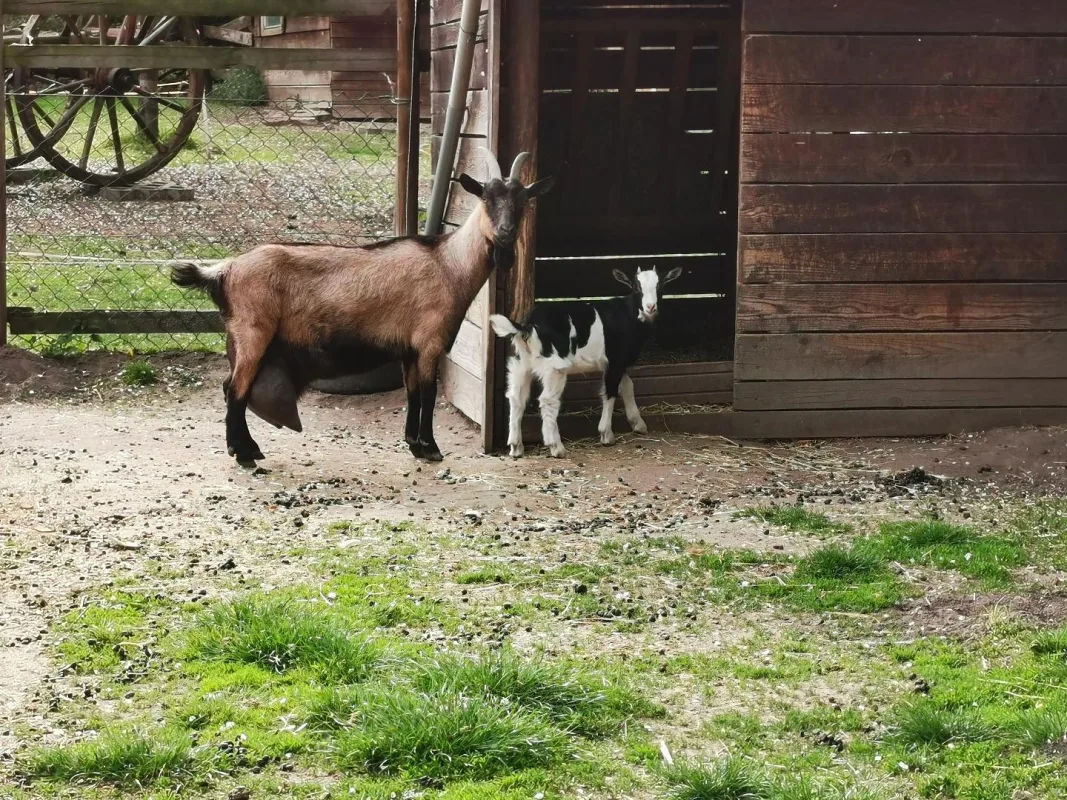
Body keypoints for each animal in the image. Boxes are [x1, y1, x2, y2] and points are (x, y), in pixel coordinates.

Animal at [171, 150, 554, 465]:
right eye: (486, 197)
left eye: (522, 199)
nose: (505, 233)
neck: (448, 263)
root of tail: (224, 270)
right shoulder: (429, 342)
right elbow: (429, 394)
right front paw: (431, 449)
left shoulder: (409, 348)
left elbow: (414, 394)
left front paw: (414, 445)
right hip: (253, 333)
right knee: (236, 390)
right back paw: (244, 455)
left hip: (240, 337)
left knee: (230, 387)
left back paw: (247, 449)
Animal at [489, 265, 682, 458]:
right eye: (636, 287)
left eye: (660, 287)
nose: (651, 306)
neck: (629, 314)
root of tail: (527, 326)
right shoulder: (615, 360)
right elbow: (610, 392)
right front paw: (606, 434)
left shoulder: (618, 362)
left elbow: (628, 386)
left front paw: (638, 424)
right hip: (554, 367)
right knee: (548, 400)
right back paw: (556, 447)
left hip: (520, 364)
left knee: (516, 398)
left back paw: (516, 447)